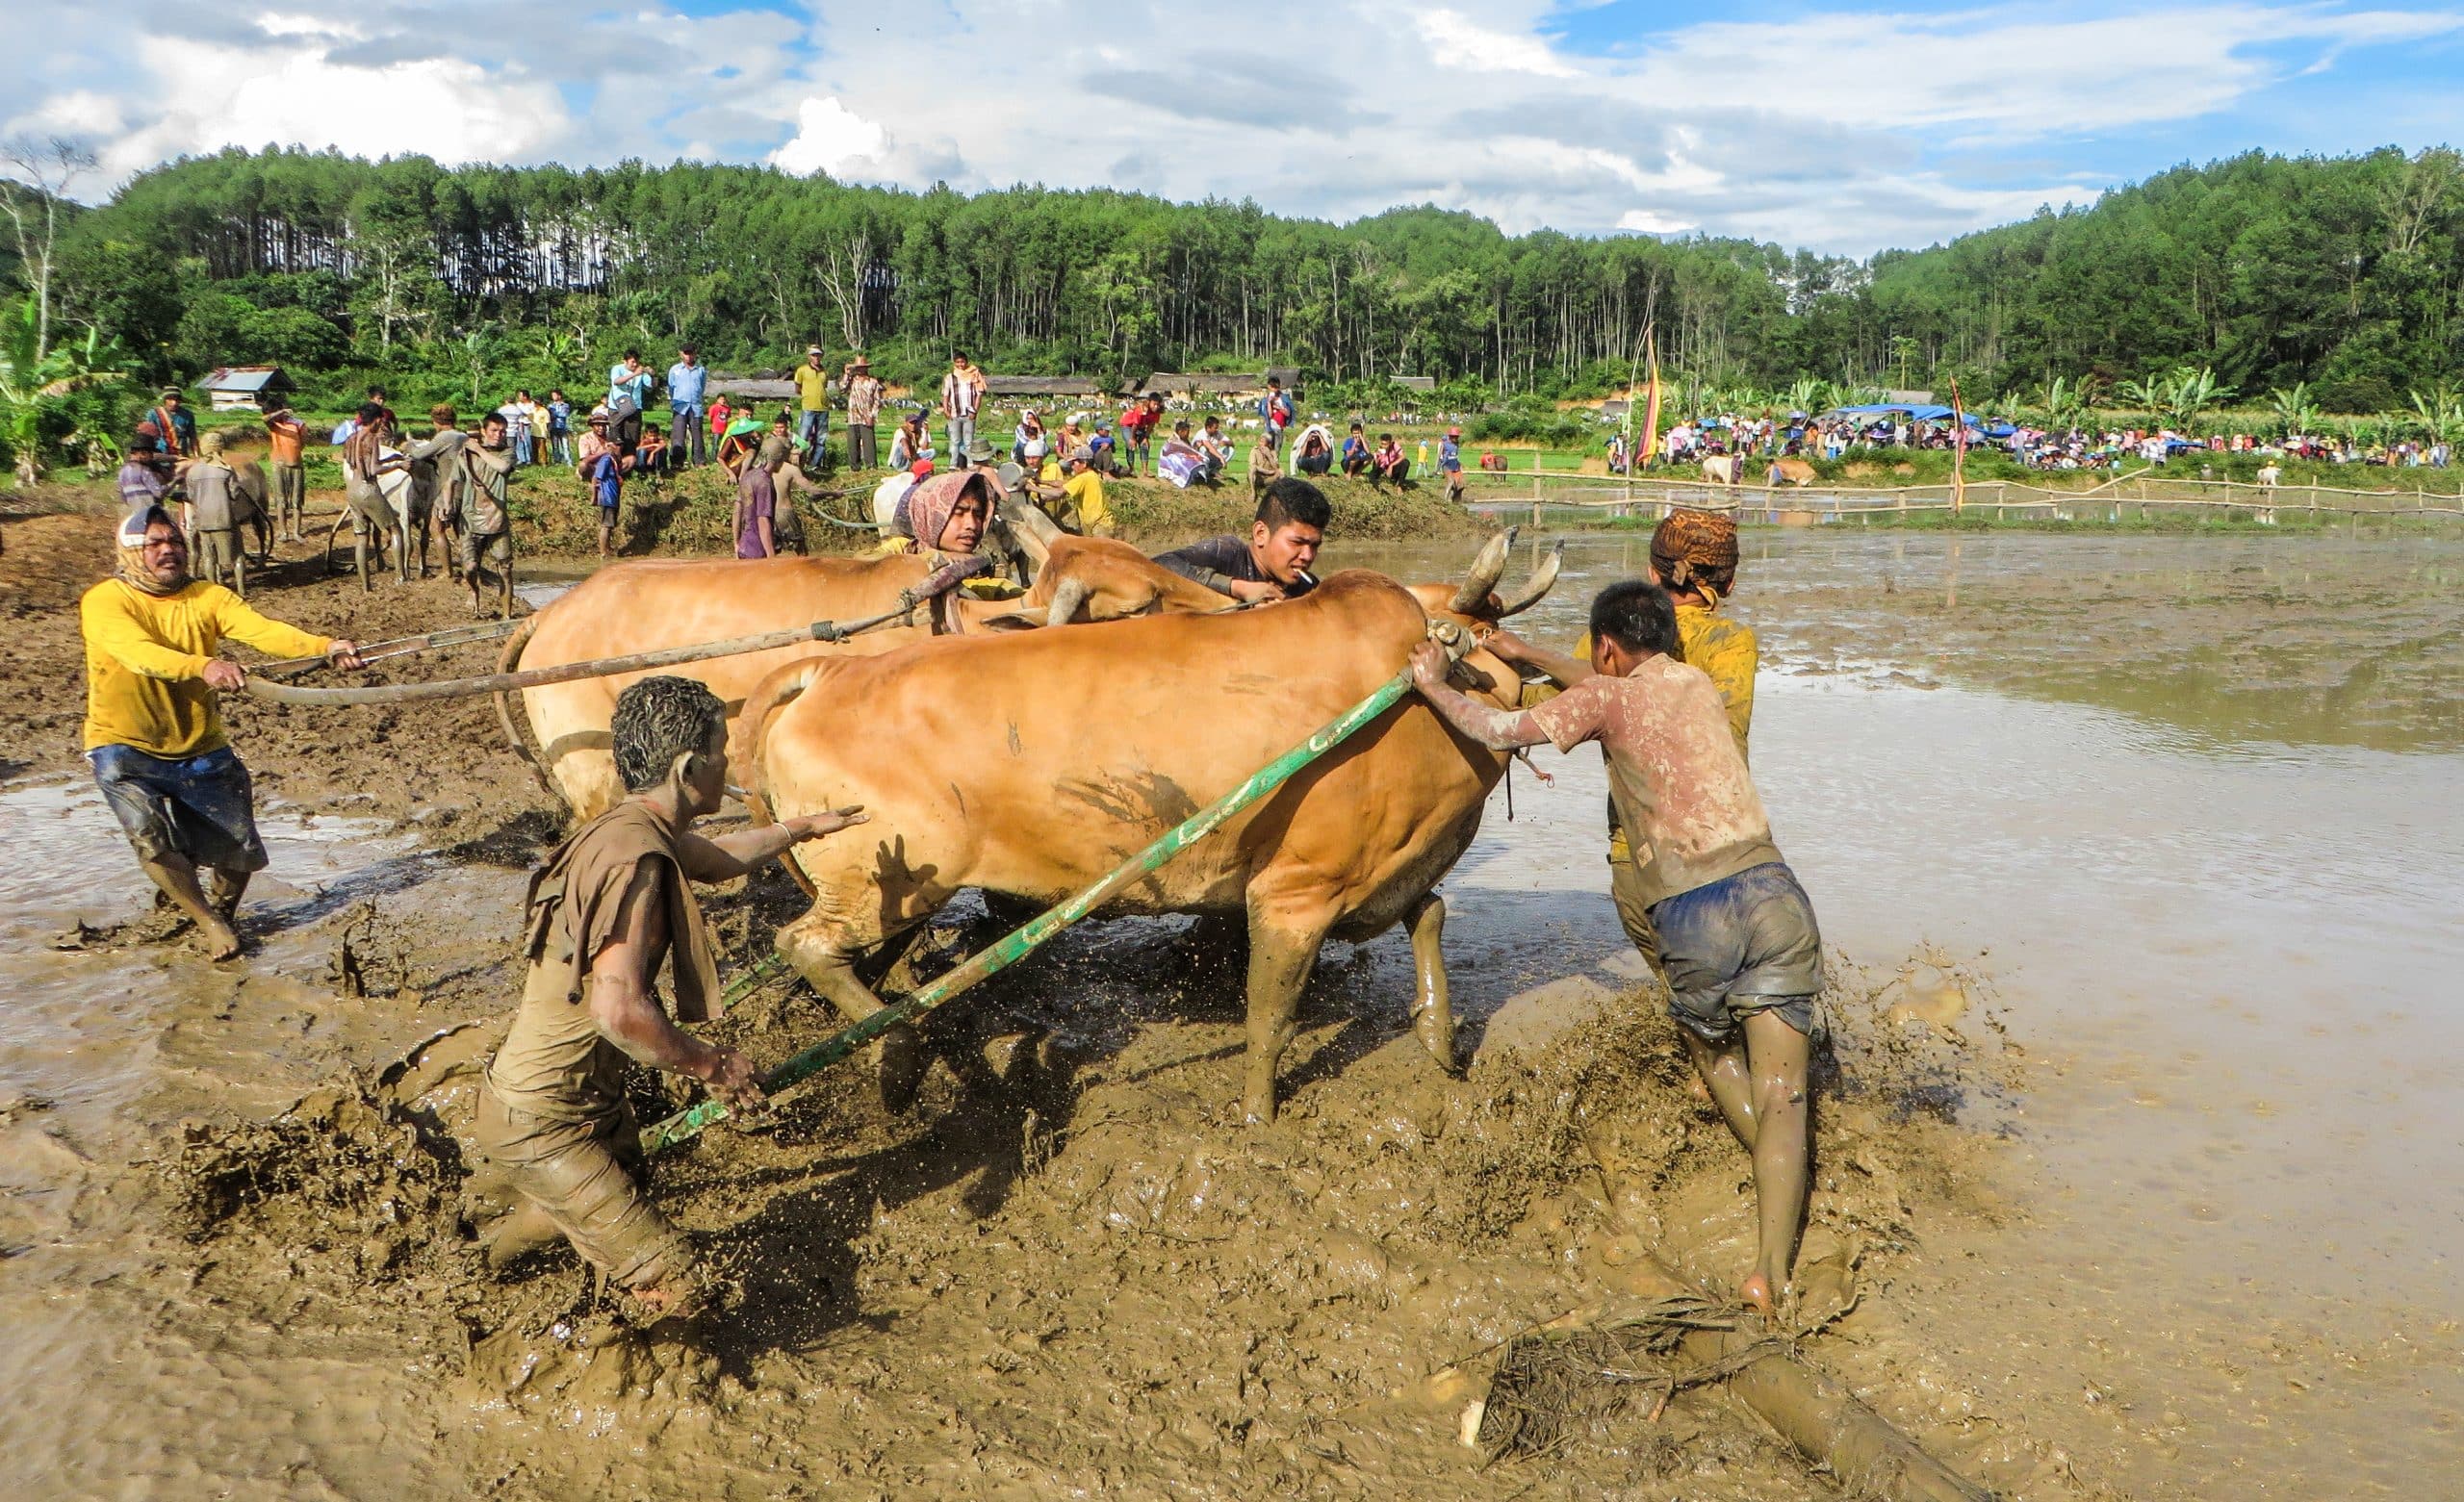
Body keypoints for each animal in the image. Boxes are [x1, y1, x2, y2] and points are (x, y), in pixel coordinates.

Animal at [739, 531, 1567, 1117]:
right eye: (1484, 645)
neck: (1408, 694)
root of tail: (826, 671)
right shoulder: (1295, 891)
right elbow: (1271, 1016)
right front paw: (1259, 1117)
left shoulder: (1389, 872)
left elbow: (1430, 915)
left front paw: (1440, 1041)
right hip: (886, 877)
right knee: (805, 945)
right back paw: (900, 1051)